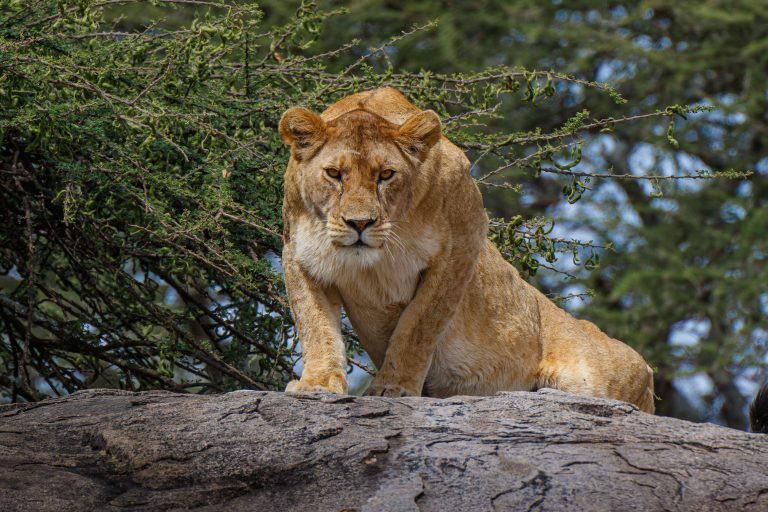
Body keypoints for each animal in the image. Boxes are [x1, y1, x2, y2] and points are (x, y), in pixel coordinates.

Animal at [278, 87, 655, 413]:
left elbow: (417, 327)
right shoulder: (297, 252)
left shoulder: (461, 245)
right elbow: (315, 325)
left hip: (599, 376)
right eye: (333, 173)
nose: (359, 224)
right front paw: (317, 383)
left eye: (386, 174)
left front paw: (393, 389)